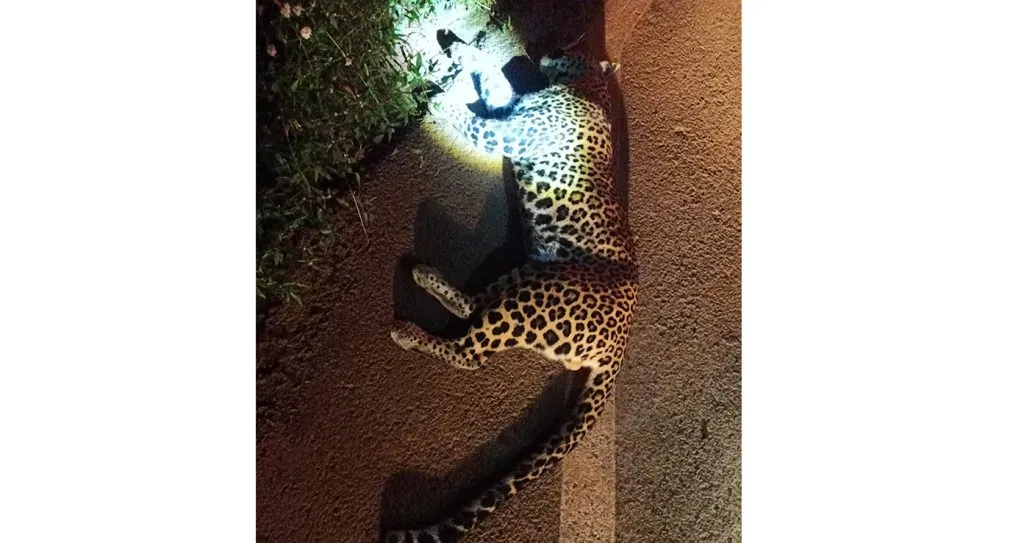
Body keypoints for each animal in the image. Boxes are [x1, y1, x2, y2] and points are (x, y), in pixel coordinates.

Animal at [384, 35, 637, 543]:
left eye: (575, 47)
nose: (547, 49)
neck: (591, 89)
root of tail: (620, 346)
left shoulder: (511, 134)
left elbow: (476, 120)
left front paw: (441, 99)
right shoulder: (511, 109)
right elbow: (494, 81)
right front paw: (463, 51)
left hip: (539, 296)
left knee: (470, 354)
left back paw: (410, 332)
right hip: (525, 276)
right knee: (472, 307)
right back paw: (425, 277)